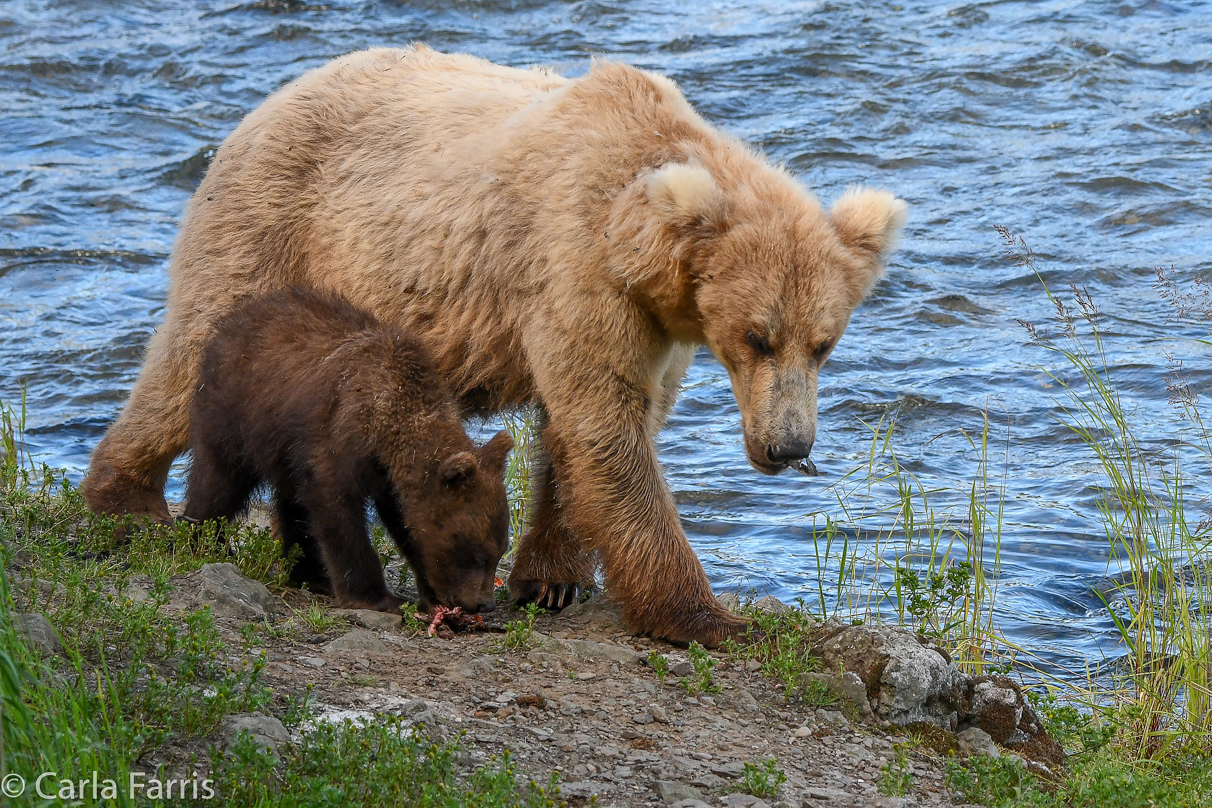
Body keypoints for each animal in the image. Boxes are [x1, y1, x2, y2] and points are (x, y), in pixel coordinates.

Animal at [85, 45, 906, 649]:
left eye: (824, 343)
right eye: (756, 337)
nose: (788, 447)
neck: (637, 245)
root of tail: (268, 101)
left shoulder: (651, 327)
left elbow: (586, 436)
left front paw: (550, 578)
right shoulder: (574, 267)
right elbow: (609, 433)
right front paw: (707, 616)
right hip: (275, 223)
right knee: (190, 349)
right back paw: (127, 499)